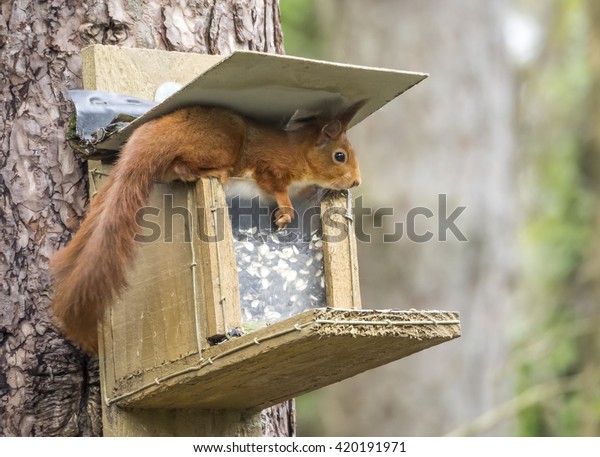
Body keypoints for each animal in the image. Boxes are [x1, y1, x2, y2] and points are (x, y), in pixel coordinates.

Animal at [50, 102, 360, 352]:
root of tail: (157, 132)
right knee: (184, 166)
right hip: (220, 145)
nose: (356, 182)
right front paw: (286, 210)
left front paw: (312, 193)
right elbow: (276, 187)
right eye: (340, 156)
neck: (299, 153)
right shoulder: (269, 167)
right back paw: (214, 173)